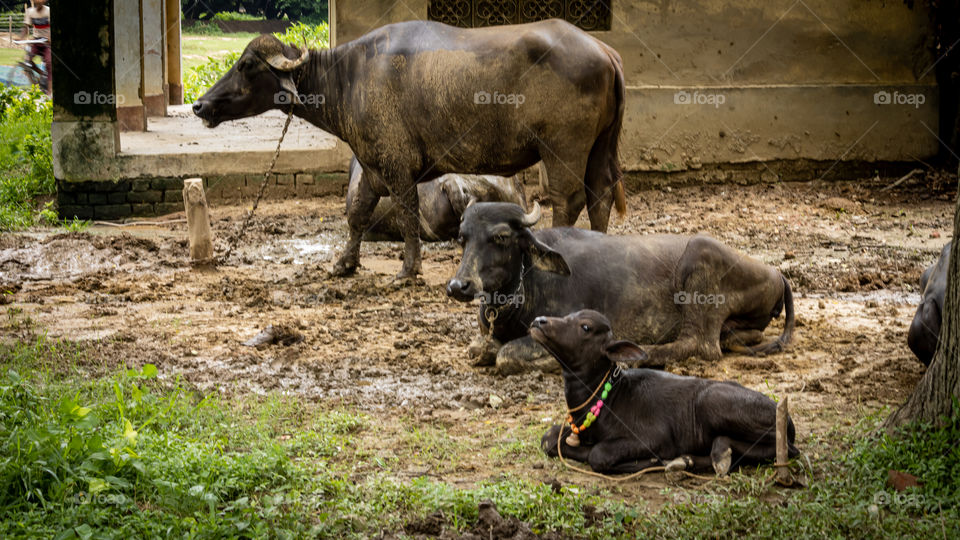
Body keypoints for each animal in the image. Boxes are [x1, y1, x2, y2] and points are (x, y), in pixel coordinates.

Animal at [448, 200, 796, 374]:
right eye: (462, 237)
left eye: (501, 237)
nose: (458, 286)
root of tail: (777, 274)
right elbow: (479, 347)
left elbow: (505, 354)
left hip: (700, 259)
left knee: (700, 345)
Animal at [528, 310, 800, 474]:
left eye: (585, 327)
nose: (539, 321)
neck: (606, 399)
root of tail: (786, 417)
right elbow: (548, 438)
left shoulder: (655, 438)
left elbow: (598, 454)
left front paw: (646, 462)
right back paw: (688, 460)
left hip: (712, 402)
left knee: (784, 448)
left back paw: (720, 453)